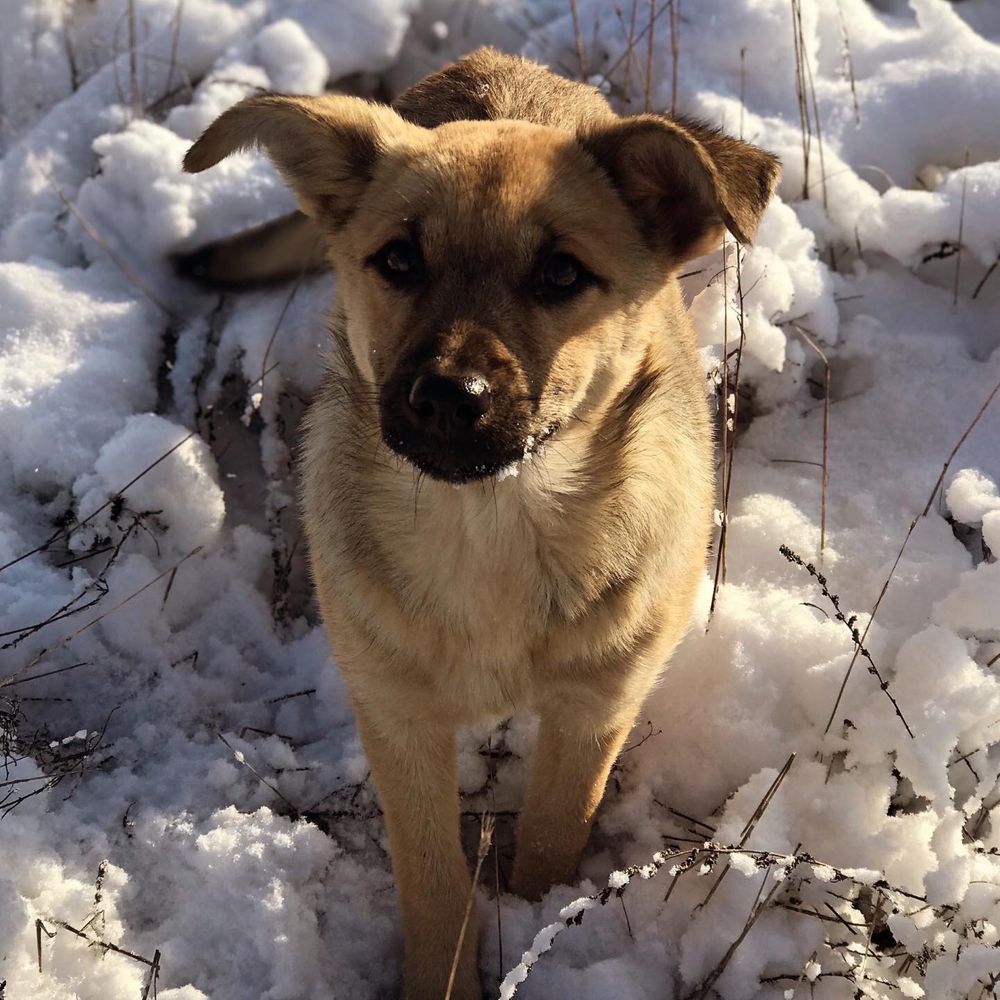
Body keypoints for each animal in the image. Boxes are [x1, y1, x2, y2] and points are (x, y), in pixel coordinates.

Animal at [184, 47, 776, 1000]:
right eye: (398, 259)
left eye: (562, 274)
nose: (446, 397)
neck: (492, 524)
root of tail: (495, 61)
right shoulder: (398, 717)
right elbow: (432, 882)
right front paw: (446, 975)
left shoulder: (596, 707)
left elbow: (552, 835)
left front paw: (539, 923)